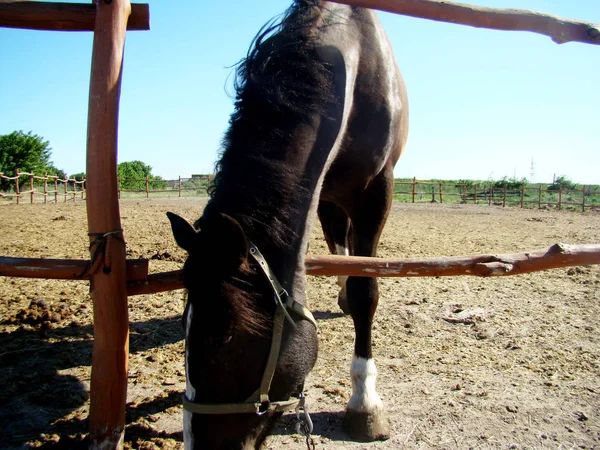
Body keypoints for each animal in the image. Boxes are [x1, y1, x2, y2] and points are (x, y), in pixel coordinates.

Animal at [169, 0, 410, 446]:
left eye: (225, 338)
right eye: (185, 324)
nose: (198, 443)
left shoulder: (376, 191)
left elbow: (367, 289)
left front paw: (365, 404)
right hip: (328, 200)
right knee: (337, 243)